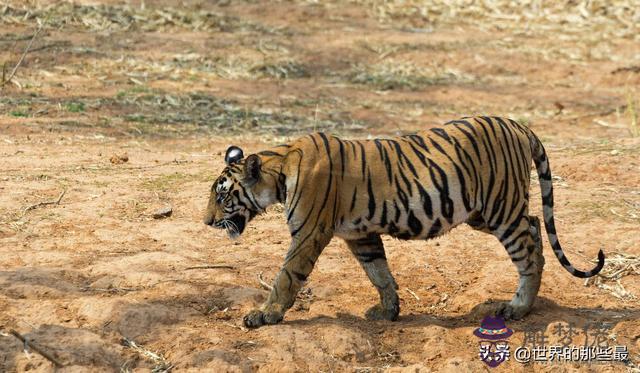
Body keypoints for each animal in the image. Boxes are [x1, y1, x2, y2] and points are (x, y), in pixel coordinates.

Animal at [202, 115, 604, 326]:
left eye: (222, 197)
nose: (206, 222)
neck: (279, 168)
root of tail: (519, 125)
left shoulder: (308, 234)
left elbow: (286, 277)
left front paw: (264, 316)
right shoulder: (360, 235)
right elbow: (379, 273)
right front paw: (388, 310)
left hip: (500, 207)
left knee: (528, 246)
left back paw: (518, 308)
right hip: (484, 213)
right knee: (535, 224)